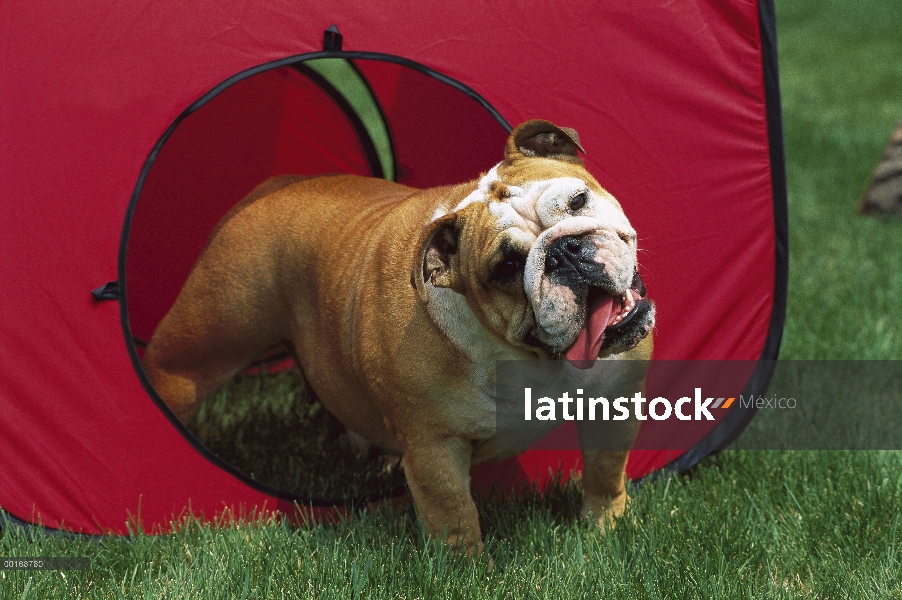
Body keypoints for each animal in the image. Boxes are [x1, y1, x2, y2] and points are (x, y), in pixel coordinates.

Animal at [147, 119, 656, 556]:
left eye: (578, 201)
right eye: (506, 267)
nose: (565, 251)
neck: (531, 357)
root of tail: (278, 185)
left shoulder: (614, 403)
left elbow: (606, 473)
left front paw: (606, 527)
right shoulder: (434, 446)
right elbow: (453, 513)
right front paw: (467, 570)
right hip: (201, 345)